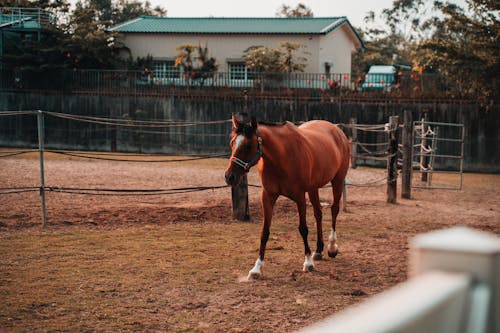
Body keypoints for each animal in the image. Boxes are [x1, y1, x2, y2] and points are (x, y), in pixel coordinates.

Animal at [225, 114, 350, 278]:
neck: (281, 157)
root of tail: (337, 131)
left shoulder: (300, 197)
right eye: (232, 143)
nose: (229, 177)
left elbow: (303, 228)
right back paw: (318, 250)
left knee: (334, 210)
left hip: (337, 180)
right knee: (318, 213)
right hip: (313, 188)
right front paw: (256, 269)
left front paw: (308, 263)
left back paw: (332, 248)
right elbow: (265, 232)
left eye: (248, 146)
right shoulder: (268, 196)